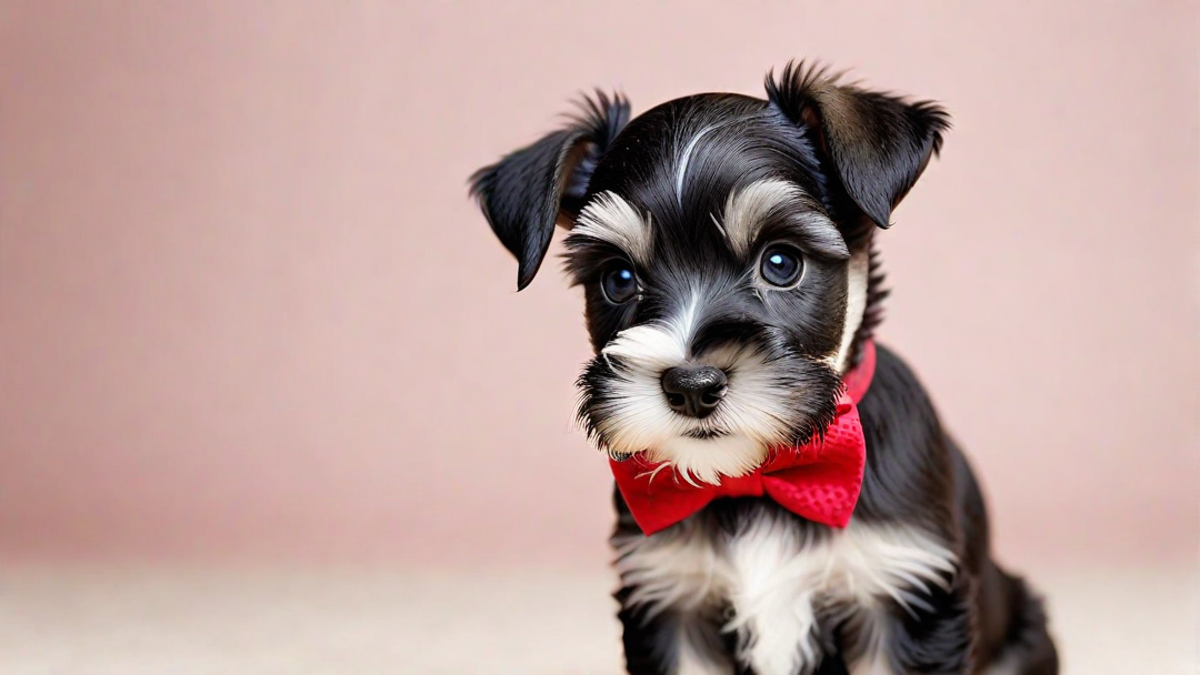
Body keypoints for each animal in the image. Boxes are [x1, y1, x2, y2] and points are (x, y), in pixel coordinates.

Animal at [468, 63, 1060, 672]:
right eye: (619, 278)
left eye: (781, 262)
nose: (692, 385)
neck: (757, 479)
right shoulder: (671, 601)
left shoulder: (901, 596)